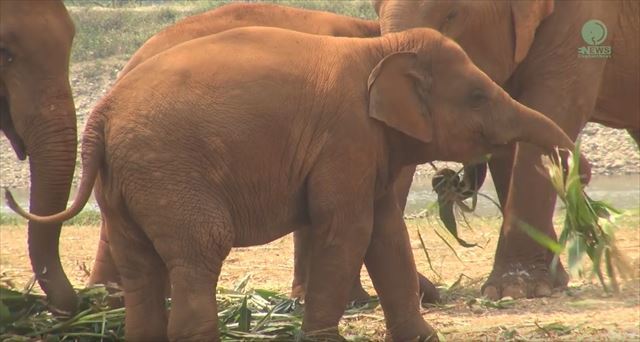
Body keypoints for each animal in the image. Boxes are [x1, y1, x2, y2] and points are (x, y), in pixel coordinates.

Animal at [10, 27, 592, 342]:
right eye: (477, 97)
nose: (577, 173)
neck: (379, 47)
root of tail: (102, 112)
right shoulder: (346, 136)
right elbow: (349, 231)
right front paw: (322, 336)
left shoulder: (368, 146)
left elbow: (386, 234)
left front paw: (424, 338)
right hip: (169, 172)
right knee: (200, 251)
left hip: (124, 183)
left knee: (141, 267)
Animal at [376, 0, 640, 298]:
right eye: (375, 11)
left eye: (451, 14)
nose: (581, 175)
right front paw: (549, 281)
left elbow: (554, 107)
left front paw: (512, 289)